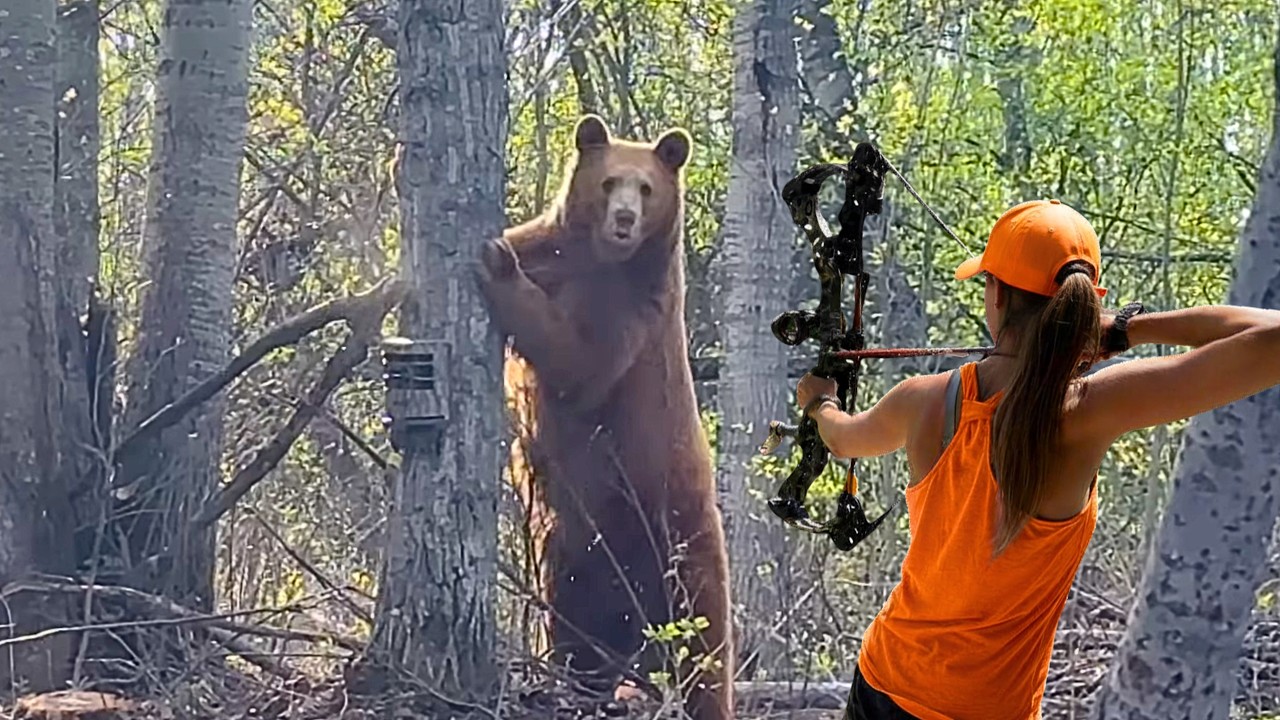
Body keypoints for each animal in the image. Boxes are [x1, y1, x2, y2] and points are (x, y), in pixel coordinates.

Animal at [476, 115, 734, 720]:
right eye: (609, 180)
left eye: (646, 188)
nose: (623, 219)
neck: (599, 261)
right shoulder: (554, 252)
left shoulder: (634, 313)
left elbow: (579, 361)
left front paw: (497, 265)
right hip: (573, 564)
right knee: (575, 641)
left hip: (682, 554)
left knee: (706, 661)